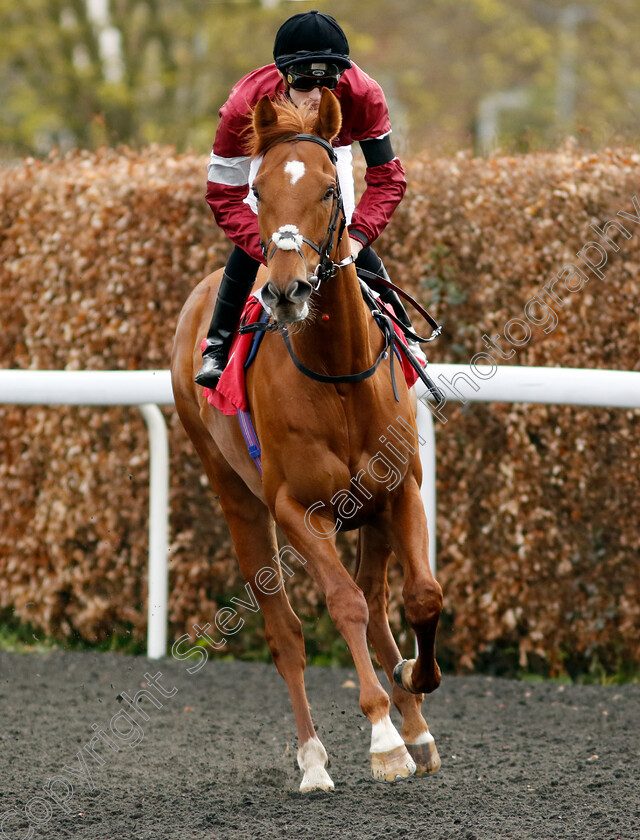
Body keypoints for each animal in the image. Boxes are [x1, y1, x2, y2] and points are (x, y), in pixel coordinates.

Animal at [172, 88, 442, 792]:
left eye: (328, 188)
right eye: (258, 191)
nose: (287, 289)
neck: (337, 373)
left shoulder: (400, 492)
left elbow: (421, 596)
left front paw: (414, 683)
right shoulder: (297, 508)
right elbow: (342, 606)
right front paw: (382, 739)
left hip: (369, 510)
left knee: (379, 599)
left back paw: (415, 720)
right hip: (236, 498)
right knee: (286, 632)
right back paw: (314, 757)